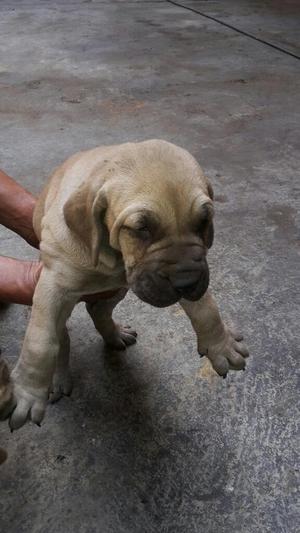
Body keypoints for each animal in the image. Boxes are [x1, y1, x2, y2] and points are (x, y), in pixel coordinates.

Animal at [3, 139, 250, 430]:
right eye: (141, 228)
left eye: (204, 221)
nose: (186, 281)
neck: (114, 256)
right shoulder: (54, 284)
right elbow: (40, 341)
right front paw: (27, 392)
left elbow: (207, 308)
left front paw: (220, 345)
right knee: (61, 335)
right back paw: (57, 378)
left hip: (118, 290)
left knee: (98, 311)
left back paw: (115, 334)